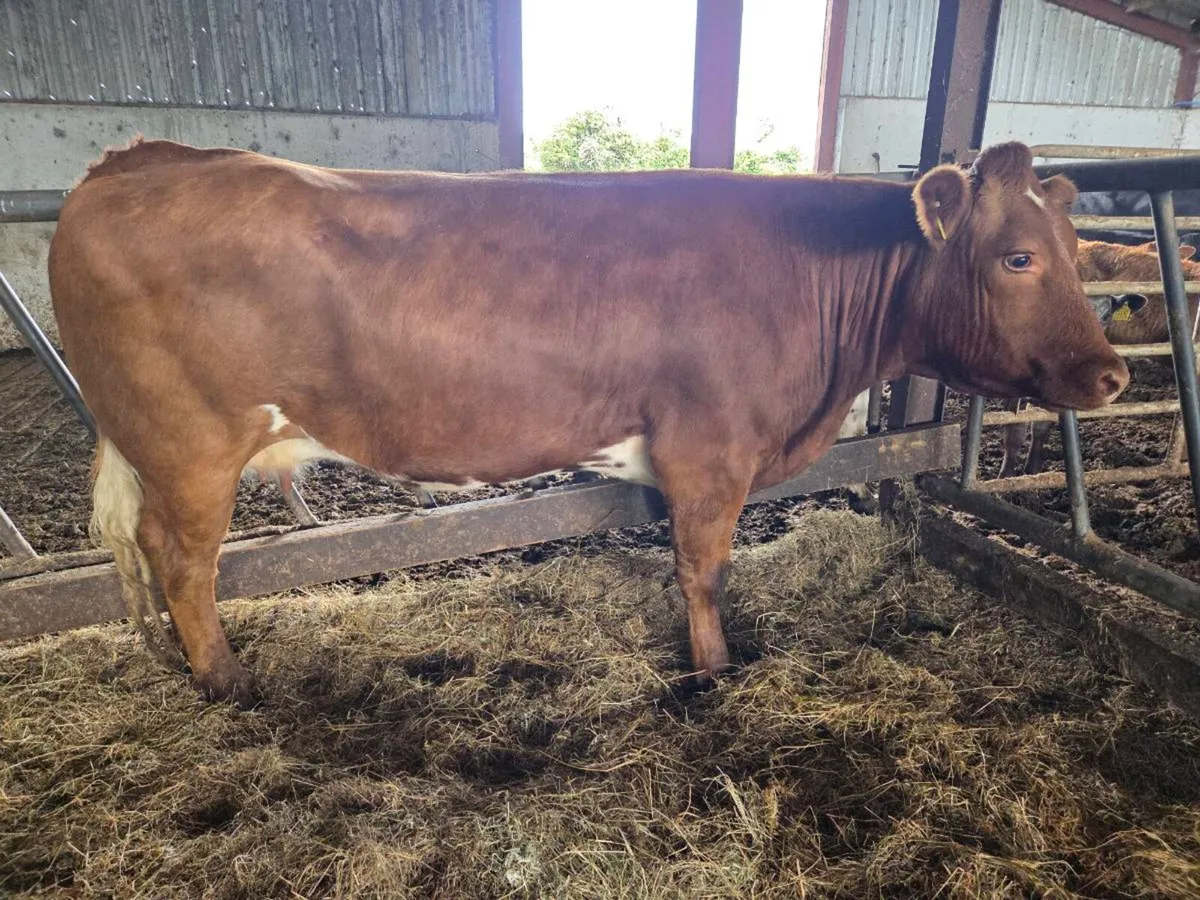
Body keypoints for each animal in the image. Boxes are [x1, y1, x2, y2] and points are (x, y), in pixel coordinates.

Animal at [48, 138, 1127, 706]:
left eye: (1079, 247)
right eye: (1020, 256)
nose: (1113, 373)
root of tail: (132, 163)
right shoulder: (710, 448)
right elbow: (705, 570)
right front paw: (715, 673)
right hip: (190, 447)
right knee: (185, 563)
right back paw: (225, 678)